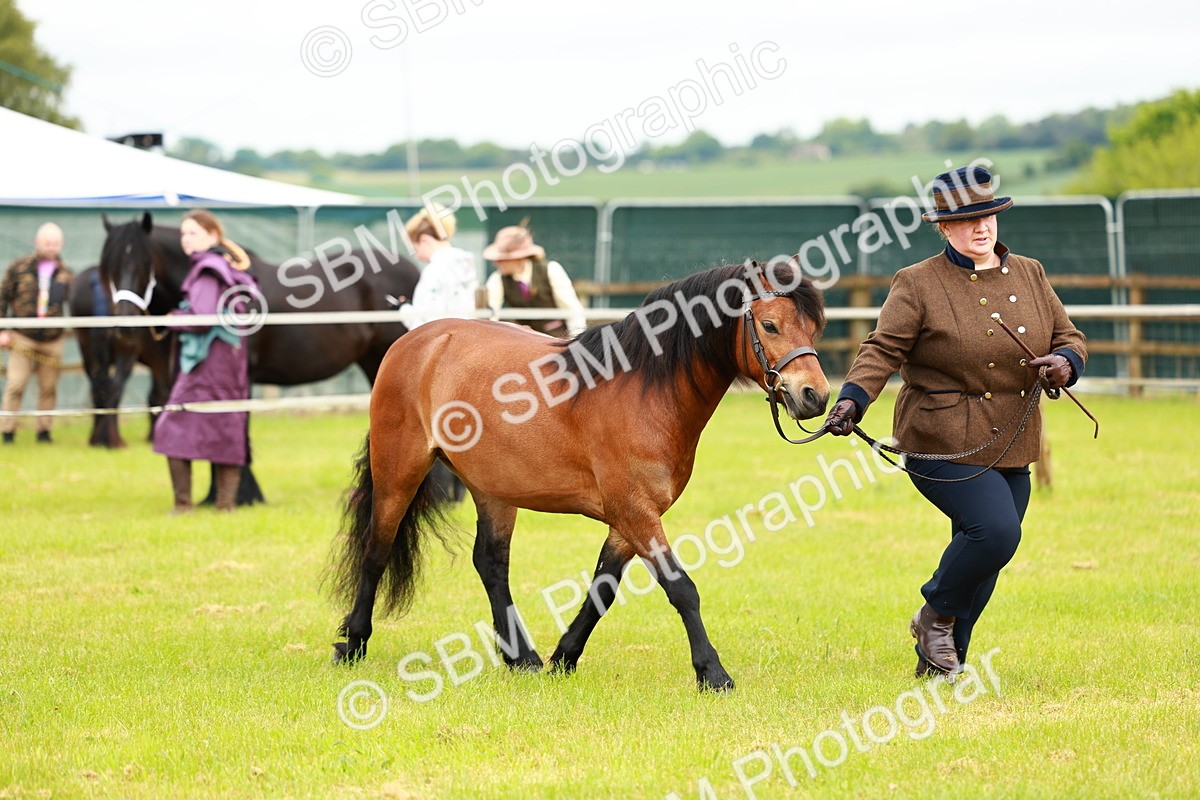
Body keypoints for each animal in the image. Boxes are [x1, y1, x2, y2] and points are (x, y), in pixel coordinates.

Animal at [326, 260, 830, 691]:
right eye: (770, 325)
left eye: (814, 327)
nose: (816, 396)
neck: (645, 391)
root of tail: (418, 340)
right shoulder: (635, 512)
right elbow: (682, 588)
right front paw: (713, 673)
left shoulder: (629, 520)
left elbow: (603, 589)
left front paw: (563, 657)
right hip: (399, 472)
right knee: (376, 550)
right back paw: (353, 643)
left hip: (493, 489)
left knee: (490, 563)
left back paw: (522, 657)